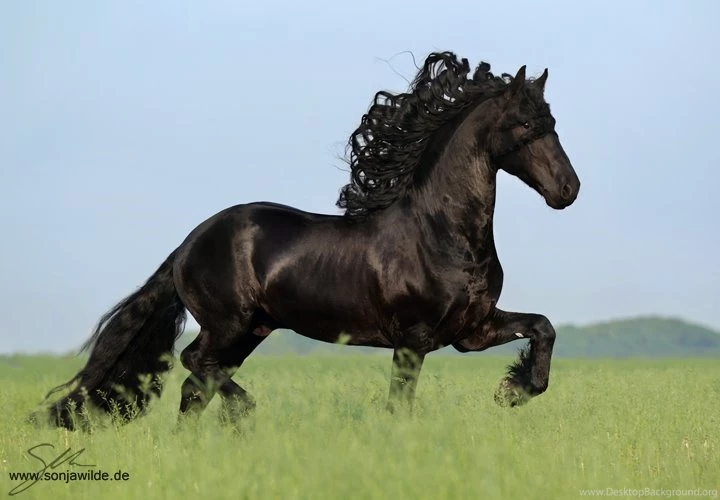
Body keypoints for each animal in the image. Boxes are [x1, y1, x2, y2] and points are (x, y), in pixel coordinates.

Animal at [38, 51, 580, 429]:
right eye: (525, 125)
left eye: (553, 124)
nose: (568, 190)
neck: (441, 235)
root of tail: (188, 244)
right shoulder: (413, 339)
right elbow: (399, 404)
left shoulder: (473, 331)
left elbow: (543, 327)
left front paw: (514, 390)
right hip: (229, 323)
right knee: (195, 365)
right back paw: (245, 413)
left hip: (252, 330)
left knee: (196, 384)